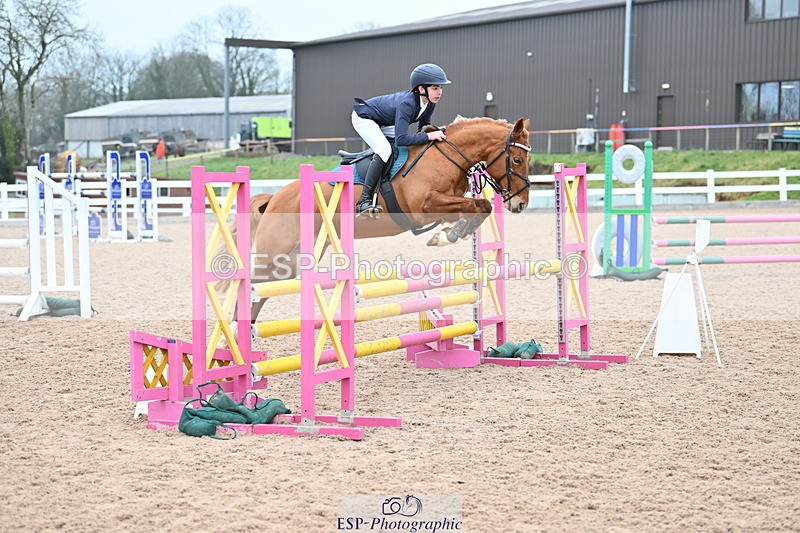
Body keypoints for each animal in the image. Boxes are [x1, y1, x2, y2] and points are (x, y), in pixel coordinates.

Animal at [220, 116, 532, 323]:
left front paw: (450, 234)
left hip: (292, 260)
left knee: (262, 291)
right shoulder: (424, 207)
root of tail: (275, 197)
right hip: (277, 253)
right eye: (516, 160)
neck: (445, 157)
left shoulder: (448, 203)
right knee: (251, 284)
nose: (520, 204)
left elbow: (480, 207)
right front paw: (445, 236)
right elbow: (476, 205)